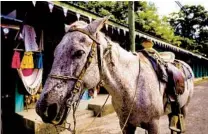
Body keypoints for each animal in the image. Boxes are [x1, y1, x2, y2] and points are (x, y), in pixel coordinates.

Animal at [36, 17, 195, 134]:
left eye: (79, 53)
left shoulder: (153, 125)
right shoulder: (125, 125)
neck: (132, 87)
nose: (44, 108)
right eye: (55, 52)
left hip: (184, 108)